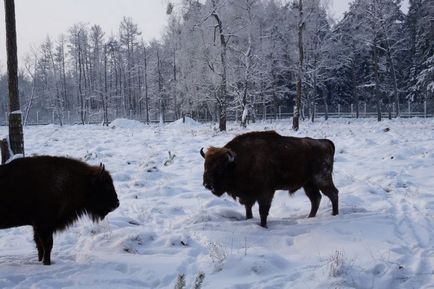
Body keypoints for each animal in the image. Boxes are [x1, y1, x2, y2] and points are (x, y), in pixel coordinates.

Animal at [201, 130, 340, 227]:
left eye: (220, 167)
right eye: (205, 165)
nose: (207, 184)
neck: (236, 162)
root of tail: (325, 142)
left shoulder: (265, 193)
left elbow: (263, 211)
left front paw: (263, 226)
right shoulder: (248, 196)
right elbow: (248, 209)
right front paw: (250, 219)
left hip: (322, 179)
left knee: (333, 194)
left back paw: (334, 215)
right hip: (309, 184)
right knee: (316, 199)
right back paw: (310, 217)